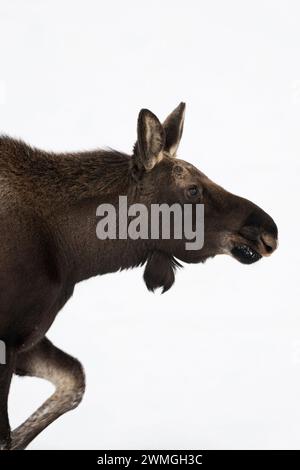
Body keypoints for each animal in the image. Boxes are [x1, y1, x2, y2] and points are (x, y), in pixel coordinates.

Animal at [0, 104, 276, 450]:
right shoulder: (8, 340)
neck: (74, 256)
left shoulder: (25, 337)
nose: (268, 230)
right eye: (193, 189)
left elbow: (73, 381)